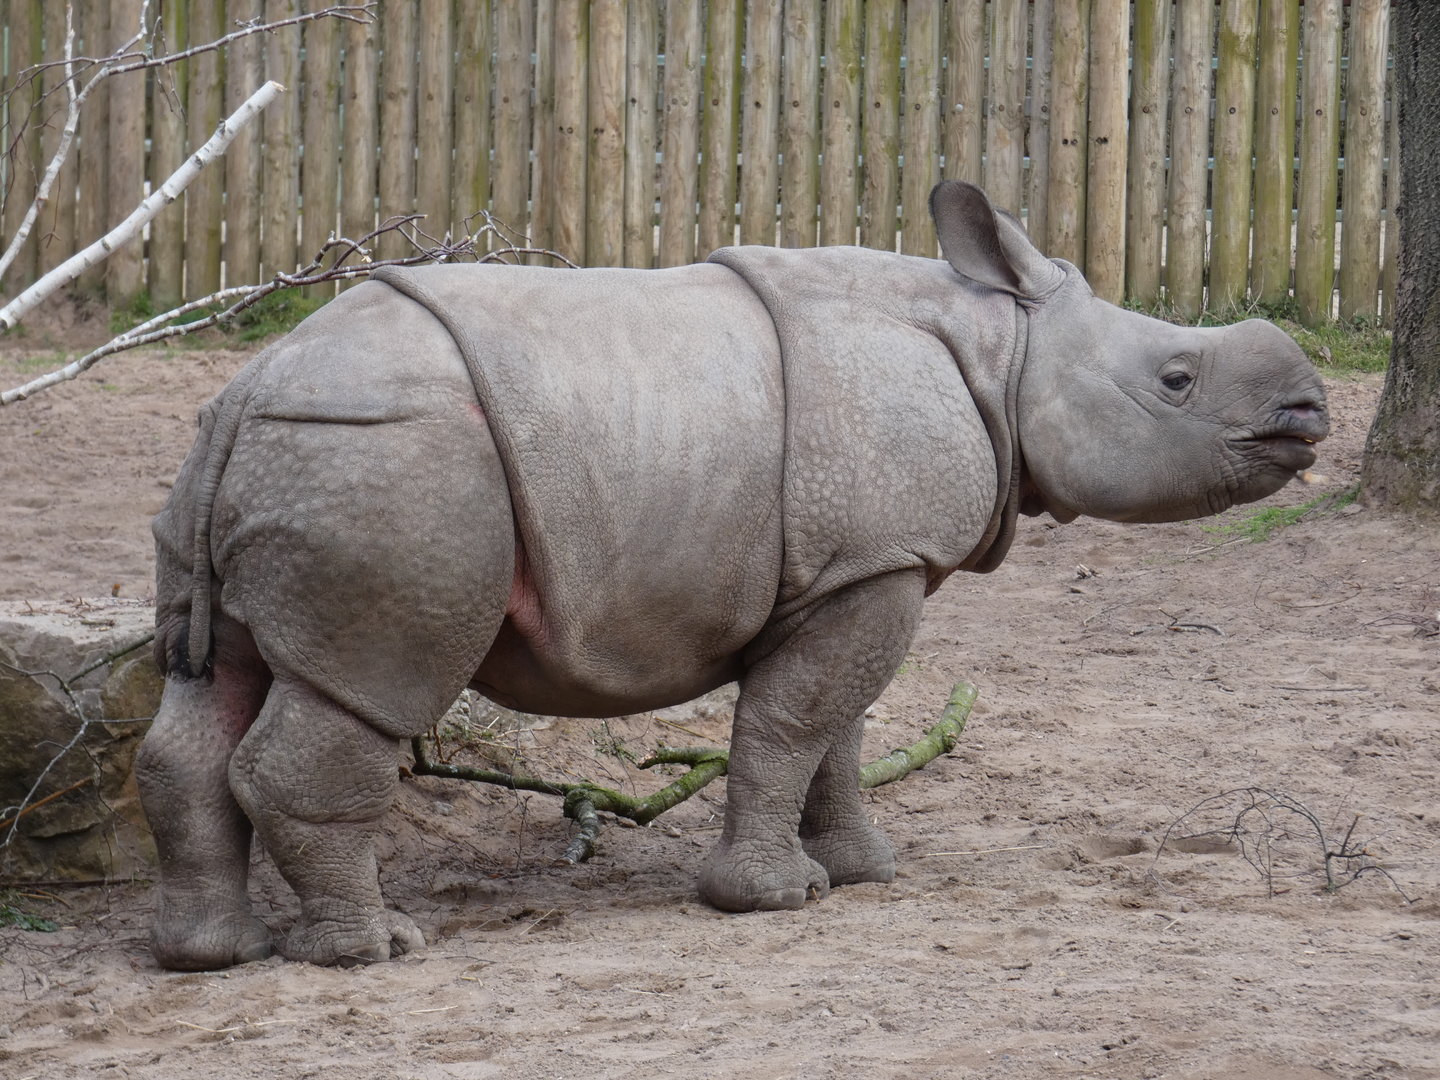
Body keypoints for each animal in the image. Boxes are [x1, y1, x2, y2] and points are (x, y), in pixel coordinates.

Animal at [137, 181, 1328, 969]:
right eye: (1177, 380)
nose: (1310, 411)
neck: (1002, 350)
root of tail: (246, 389)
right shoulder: (874, 558)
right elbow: (793, 724)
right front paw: (771, 899)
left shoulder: (859, 565)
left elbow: (840, 727)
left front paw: (866, 869)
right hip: (392, 461)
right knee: (371, 688)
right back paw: (375, 948)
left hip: (283, 455)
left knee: (213, 683)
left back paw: (210, 953)